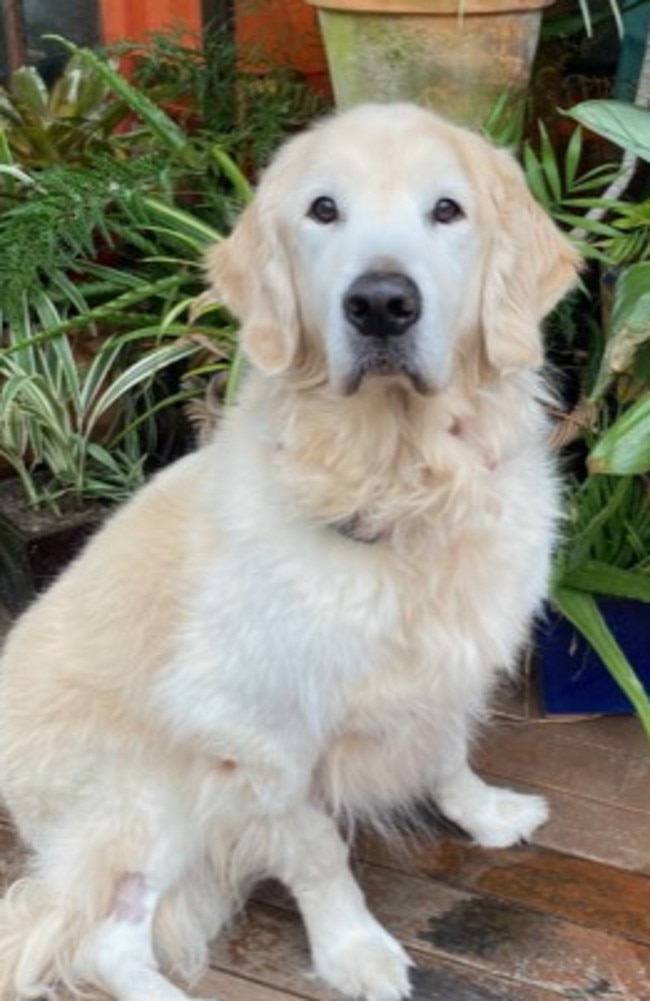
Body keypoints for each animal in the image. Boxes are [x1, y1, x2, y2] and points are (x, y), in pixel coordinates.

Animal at [0, 103, 576, 1001]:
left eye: (447, 210)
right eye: (323, 210)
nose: (381, 303)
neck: (395, 482)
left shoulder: (446, 666)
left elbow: (448, 752)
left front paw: (486, 813)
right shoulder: (260, 735)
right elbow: (318, 853)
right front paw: (354, 950)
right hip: (156, 789)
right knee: (100, 941)